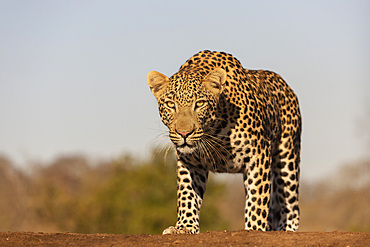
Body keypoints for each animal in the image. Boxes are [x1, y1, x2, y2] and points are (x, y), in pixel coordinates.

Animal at [146, 49, 302, 233]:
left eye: (199, 104)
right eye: (171, 104)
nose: (184, 133)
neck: (213, 130)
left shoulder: (259, 156)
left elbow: (257, 199)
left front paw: (254, 229)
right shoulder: (189, 162)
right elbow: (186, 195)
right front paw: (185, 227)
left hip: (287, 158)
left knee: (291, 206)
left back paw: (285, 229)